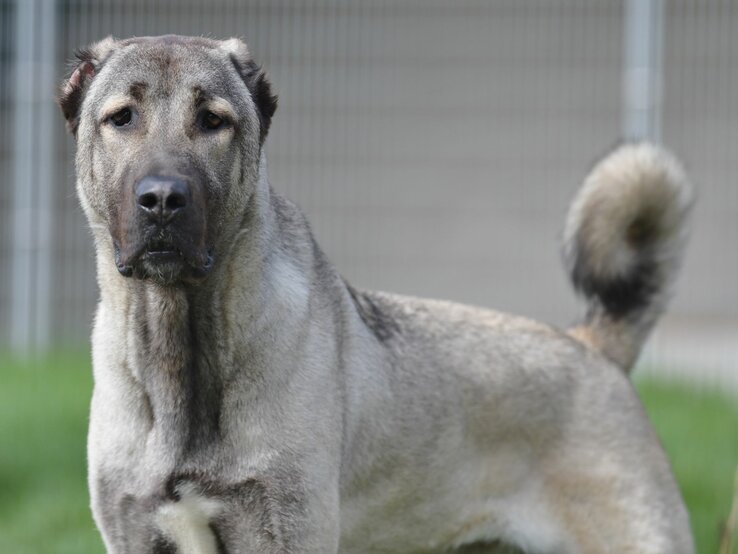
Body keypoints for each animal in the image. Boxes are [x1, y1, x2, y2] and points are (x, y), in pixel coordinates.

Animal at [60, 35, 692, 552]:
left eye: (213, 120)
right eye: (122, 117)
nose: (163, 199)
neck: (181, 348)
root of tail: (595, 347)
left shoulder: (289, 527)